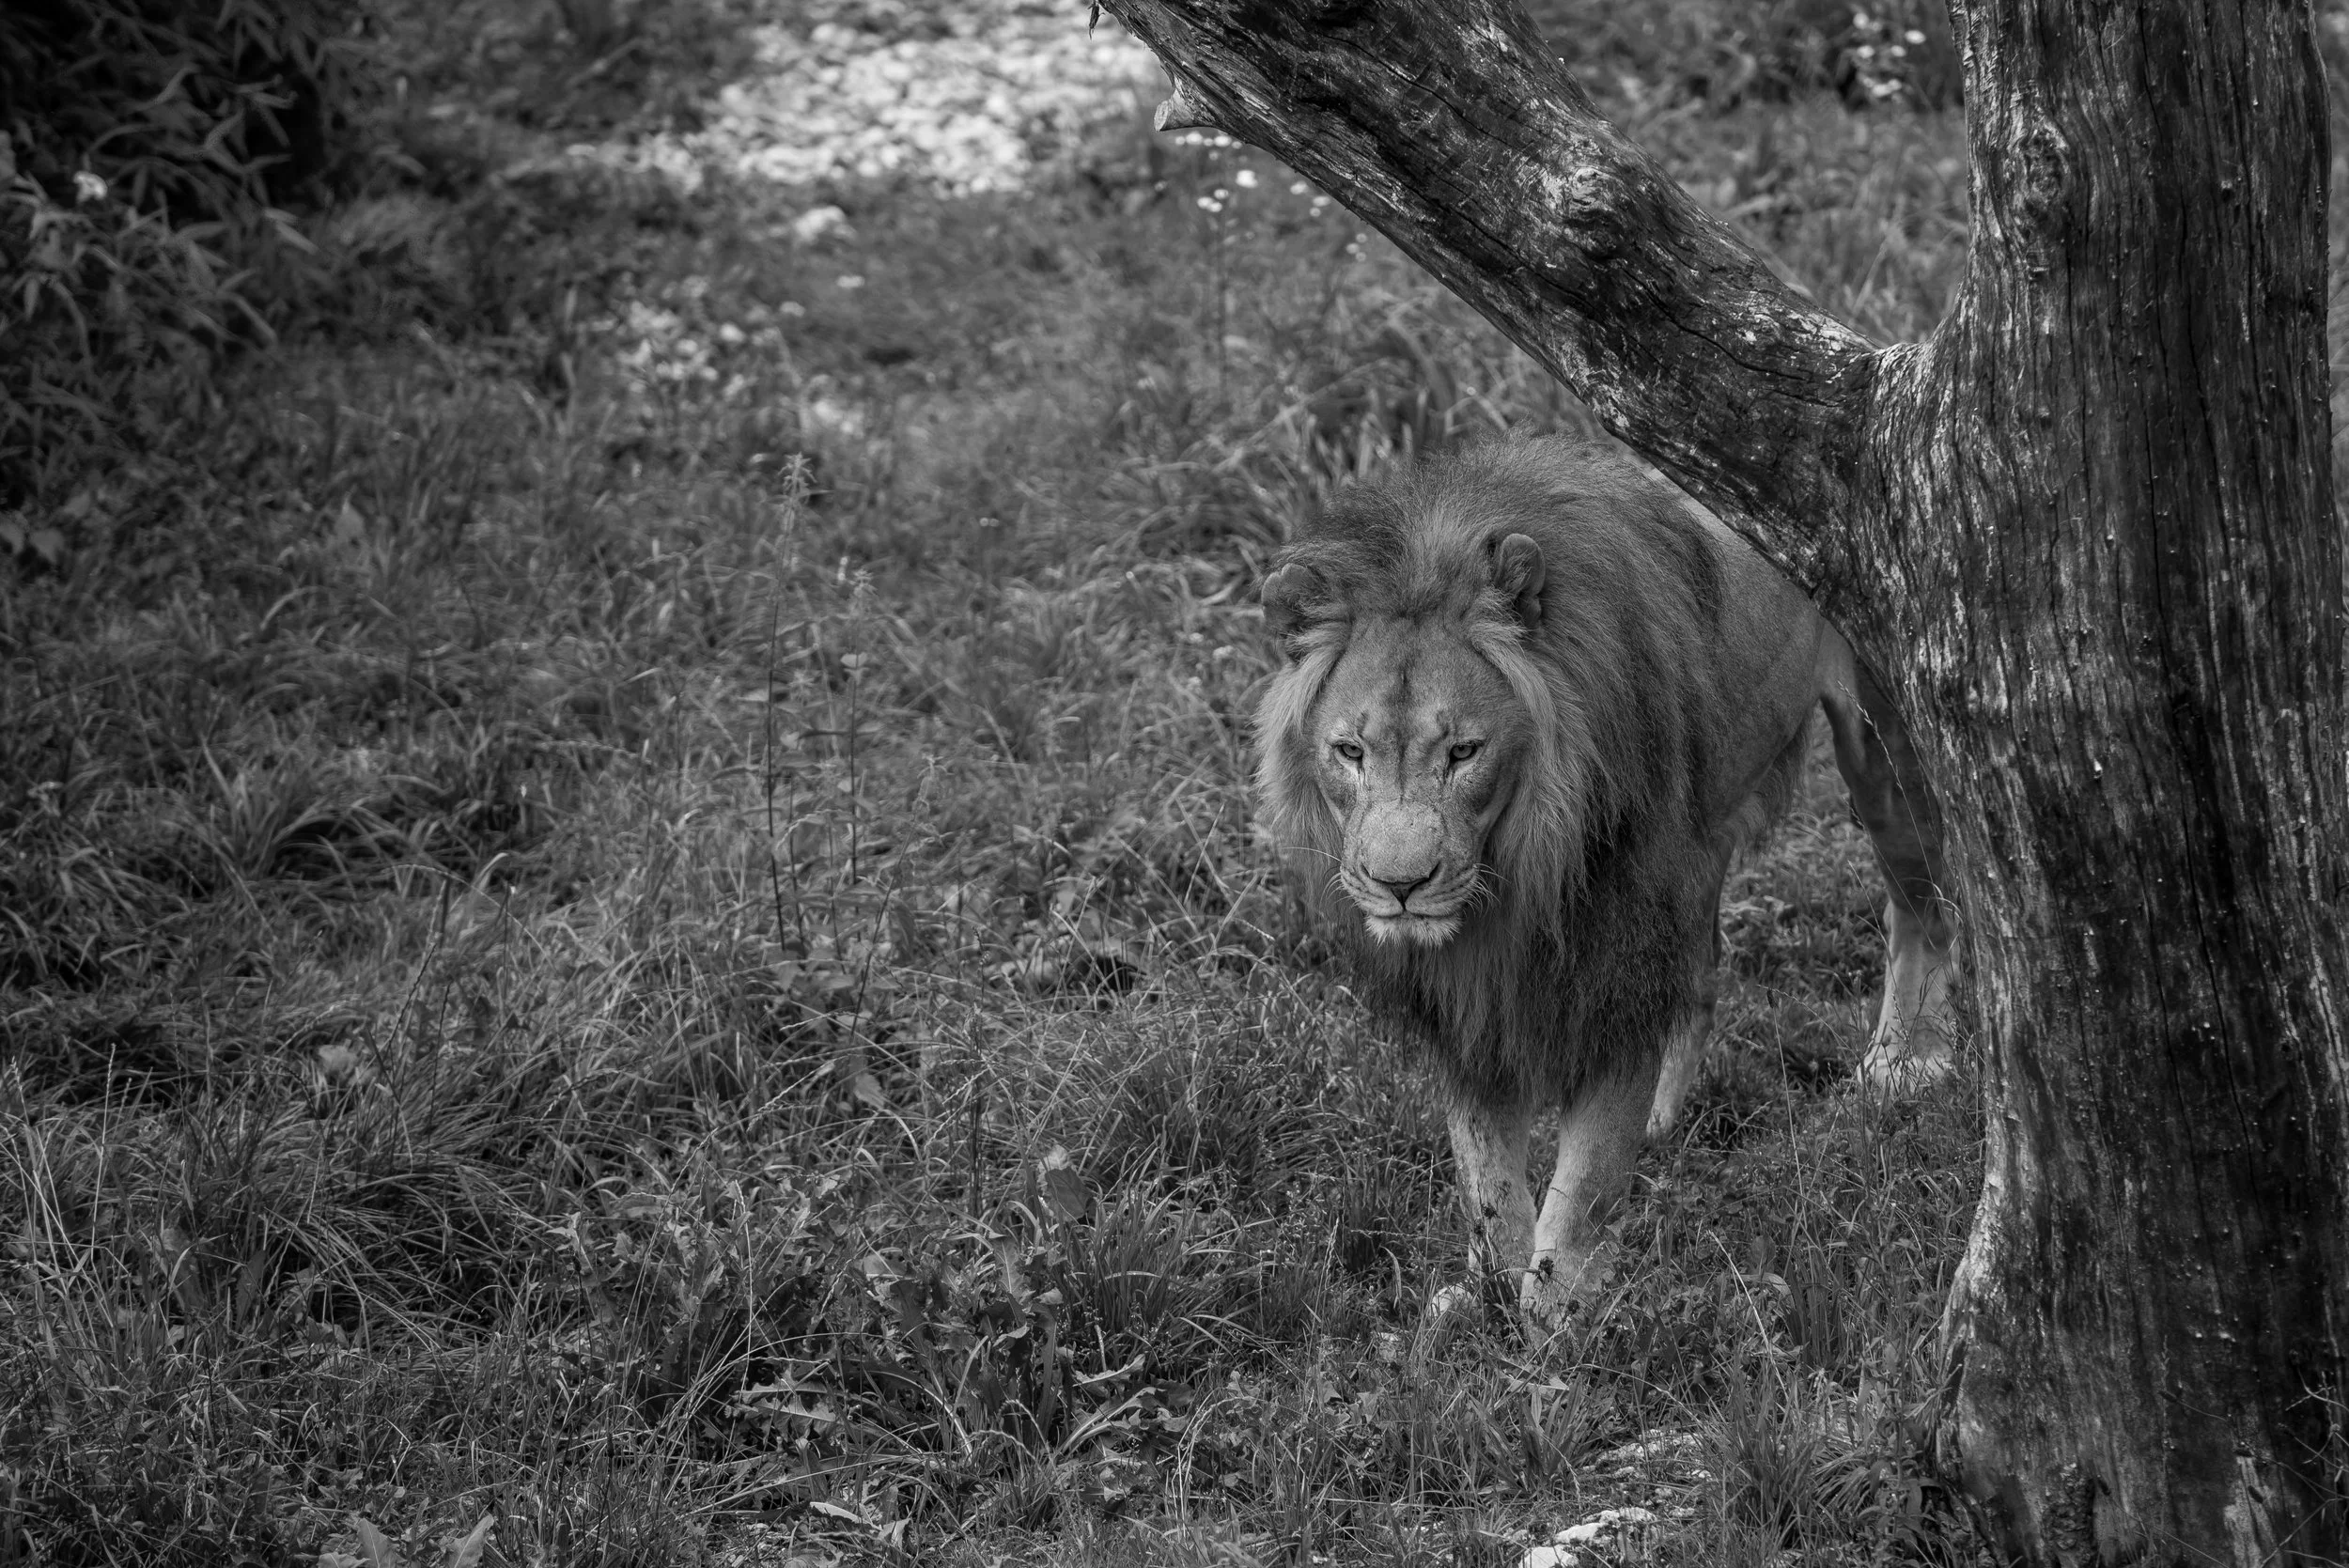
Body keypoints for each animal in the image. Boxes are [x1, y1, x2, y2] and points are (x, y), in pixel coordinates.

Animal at [1254, 437, 1956, 1318]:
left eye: (1464, 752)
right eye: (1350, 751)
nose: (1400, 885)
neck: (1519, 881)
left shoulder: (1623, 947)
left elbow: (1588, 1173)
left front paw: (1556, 1312)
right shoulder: (1471, 998)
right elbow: (1484, 1171)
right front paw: (1486, 1294)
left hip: (1882, 751)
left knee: (1922, 903)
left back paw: (1908, 1064)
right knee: (1706, 968)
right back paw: (1667, 1116)